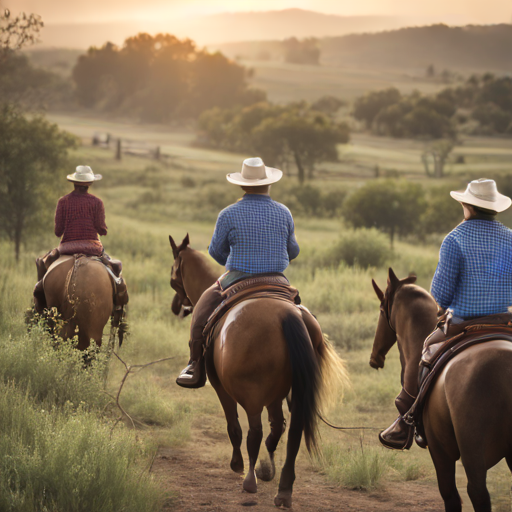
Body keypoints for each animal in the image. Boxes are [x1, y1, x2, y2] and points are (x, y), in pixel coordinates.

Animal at [169, 235, 348, 508]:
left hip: (251, 394)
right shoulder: (276, 395)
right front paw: (268, 466)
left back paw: (250, 480)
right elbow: (277, 427)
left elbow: (234, 426)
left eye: (173, 277)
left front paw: (238, 464)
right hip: (295, 394)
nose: (176, 307)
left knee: (254, 431)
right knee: (290, 432)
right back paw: (283, 489)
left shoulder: (222, 387)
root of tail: (287, 314)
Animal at [370, 268, 512, 512]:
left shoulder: (440, 450)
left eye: (381, 310)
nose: (374, 358)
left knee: (477, 494)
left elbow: (450, 496)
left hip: (472, 454)